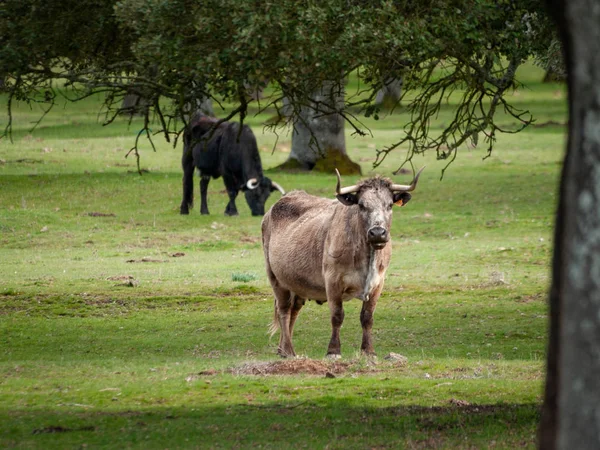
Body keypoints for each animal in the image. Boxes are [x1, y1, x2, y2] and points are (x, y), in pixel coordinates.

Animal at [260, 167, 424, 356]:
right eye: (361, 205)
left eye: (389, 205)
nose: (377, 233)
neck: (366, 258)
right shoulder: (332, 281)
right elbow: (337, 316)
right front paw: (333, 350)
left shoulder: (378, 283)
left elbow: (367, 317)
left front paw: (368, 350)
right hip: (275, 278)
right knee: (284, 311)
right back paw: (288, 350)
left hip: (296, 284)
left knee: (293, 312)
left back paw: (283, 350)